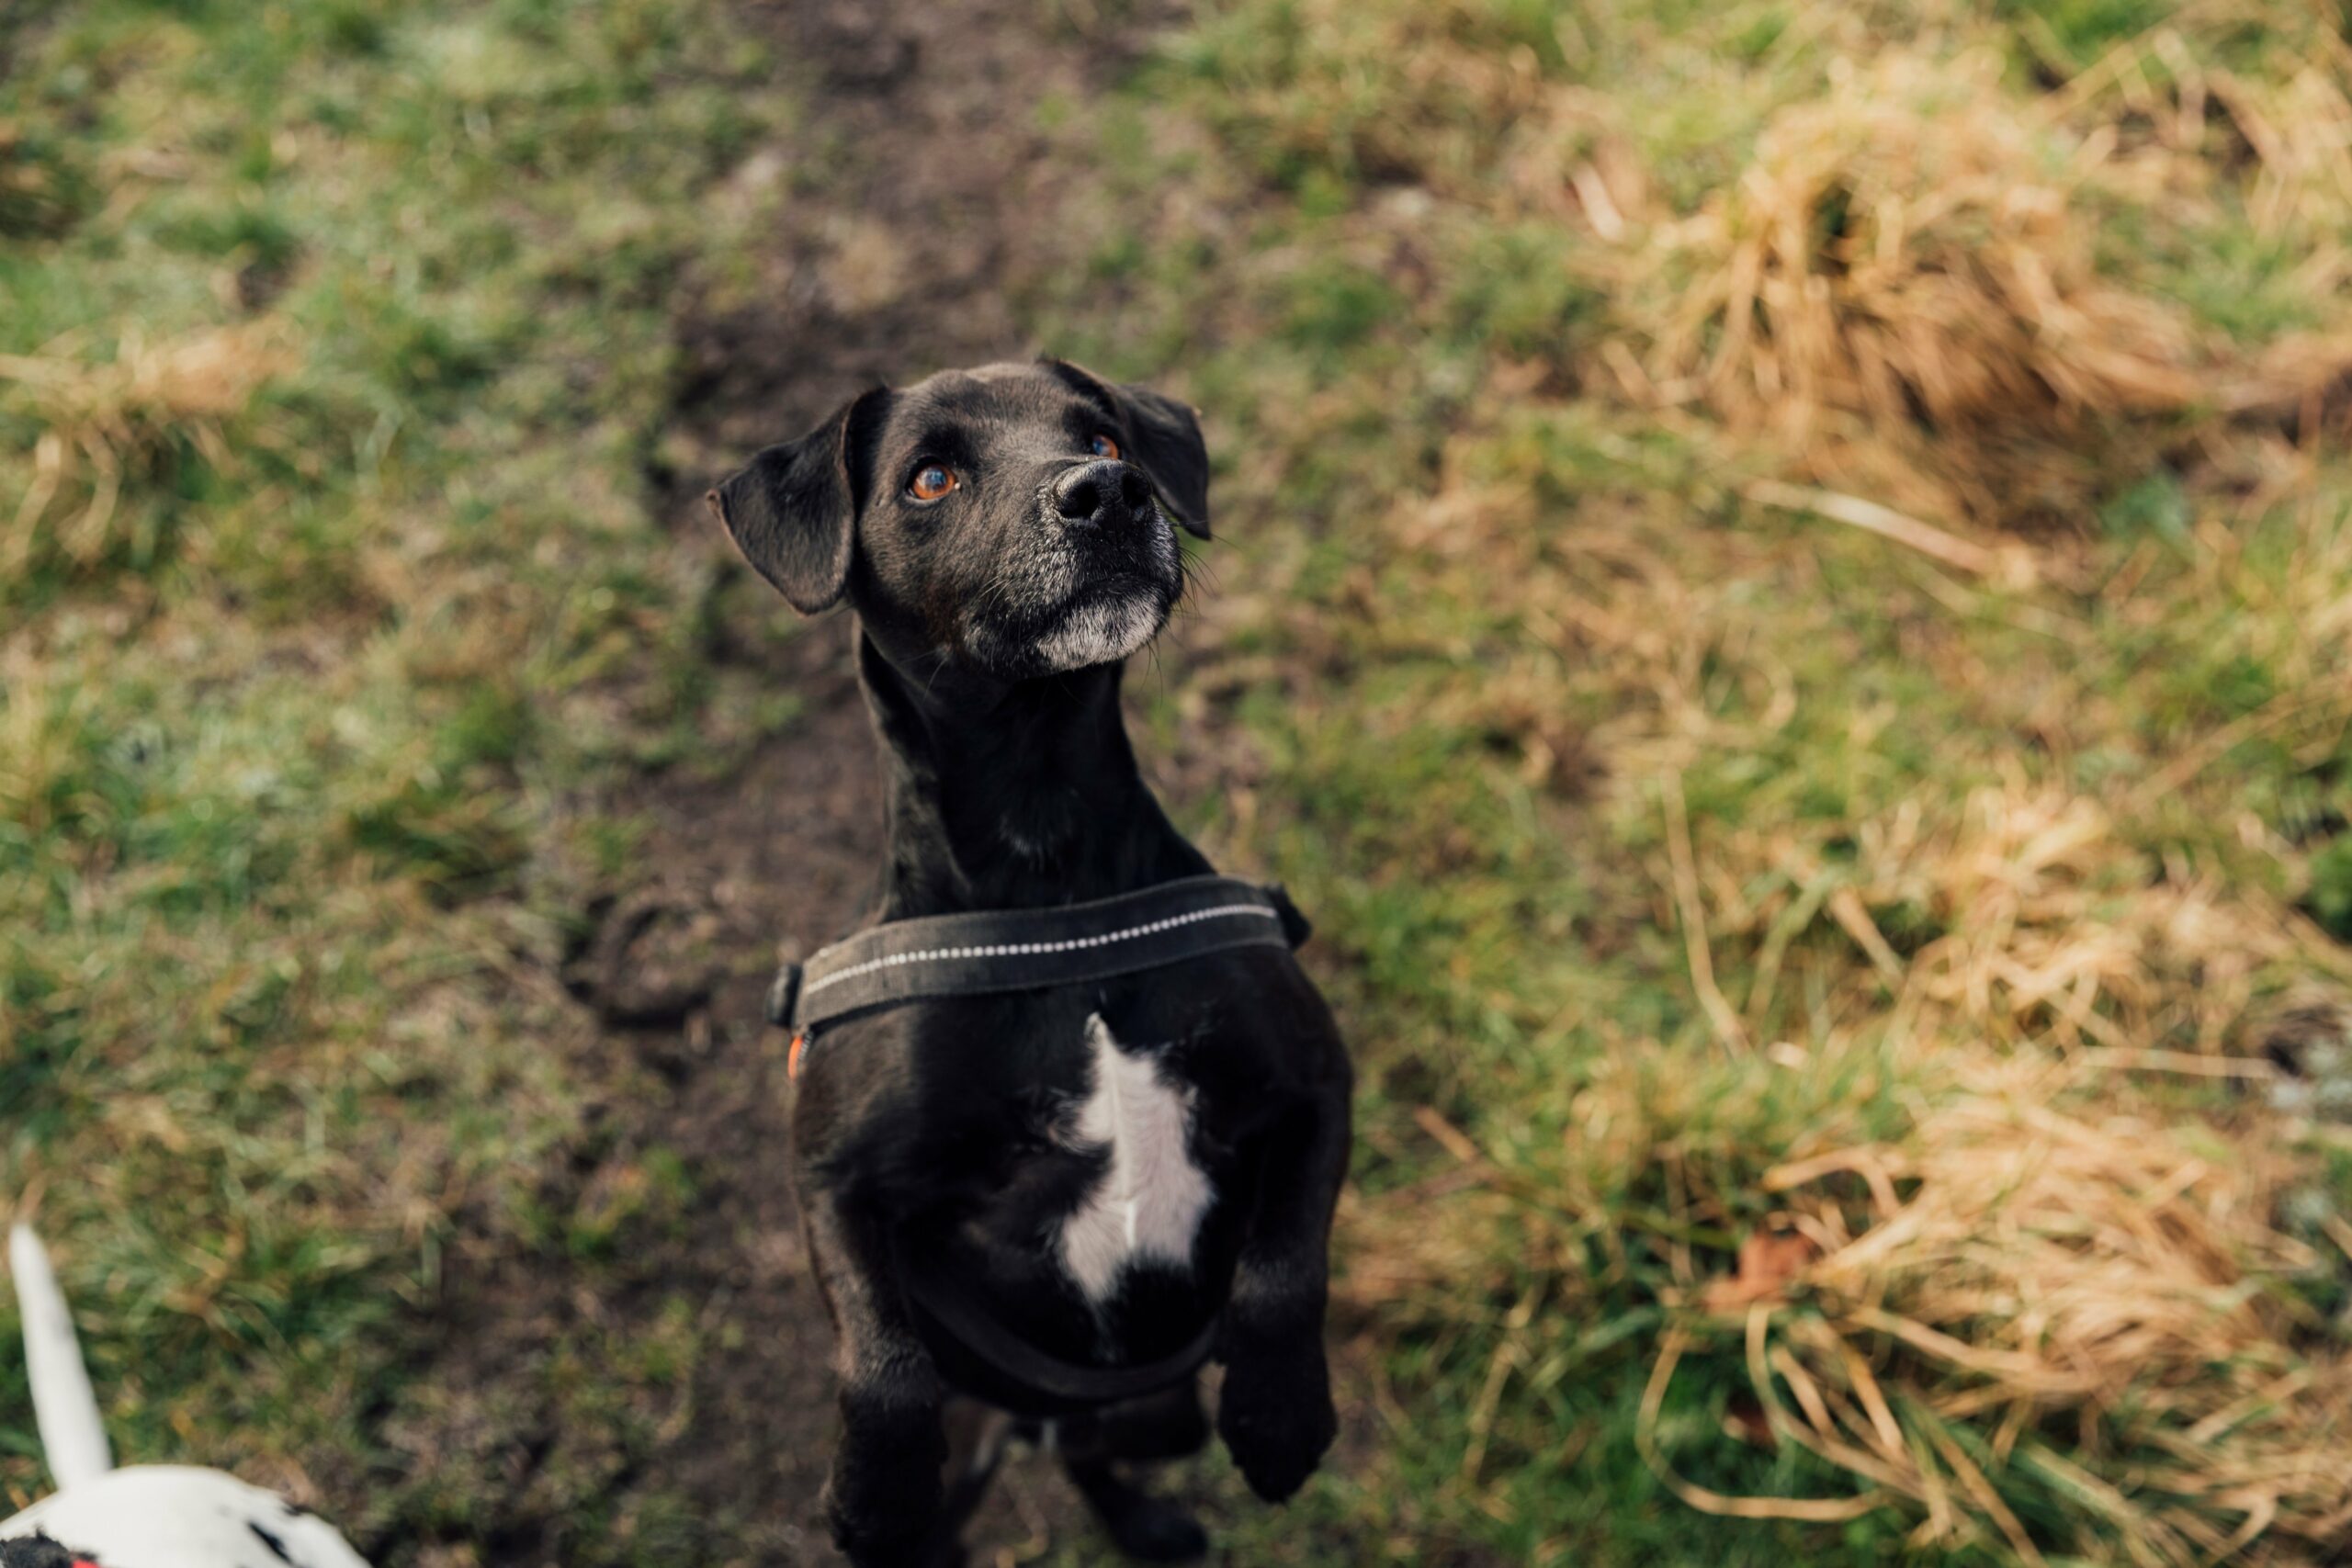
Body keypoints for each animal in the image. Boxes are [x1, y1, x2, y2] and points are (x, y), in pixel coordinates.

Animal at [706, 362, 1354, 1561]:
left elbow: (1284, 1273)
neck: (1051, 876)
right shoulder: (829, 1177)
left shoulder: (1315, 1084)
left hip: (1157, 1414)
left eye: (1102, 437)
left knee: (1097, 1455)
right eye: (930, 477)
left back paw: (1149, 1522)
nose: (1107, 494)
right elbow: (881, 1362)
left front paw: (1280, 1415)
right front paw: (875, 1496)